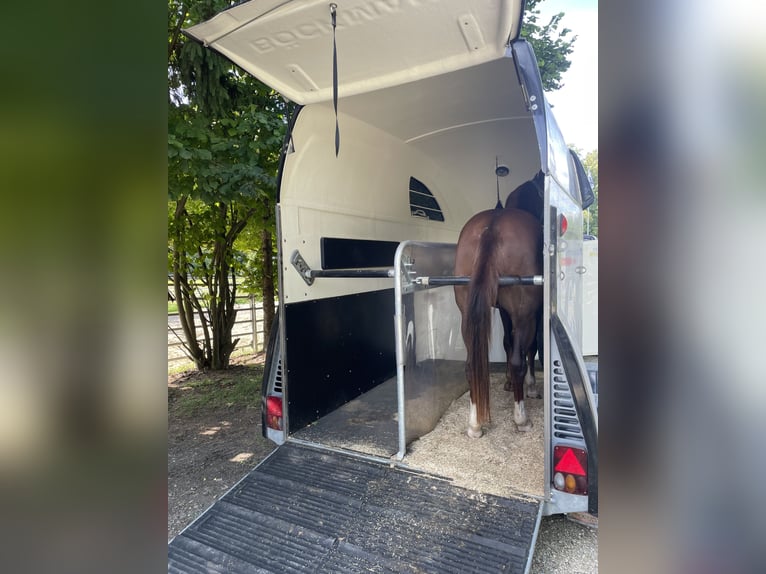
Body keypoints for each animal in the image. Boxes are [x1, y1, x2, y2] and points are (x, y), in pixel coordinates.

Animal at [453, 206, 543, 438]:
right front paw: (530, 387)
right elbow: (531, 347)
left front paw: (508, 382)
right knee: (519, 360)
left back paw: (475, 424)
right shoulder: (533, 313)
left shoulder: (503, 310)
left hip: (466, 314)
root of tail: (494, 223)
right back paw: (521, 419)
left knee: (470, 366)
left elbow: (506, 342)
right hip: (523, 315)